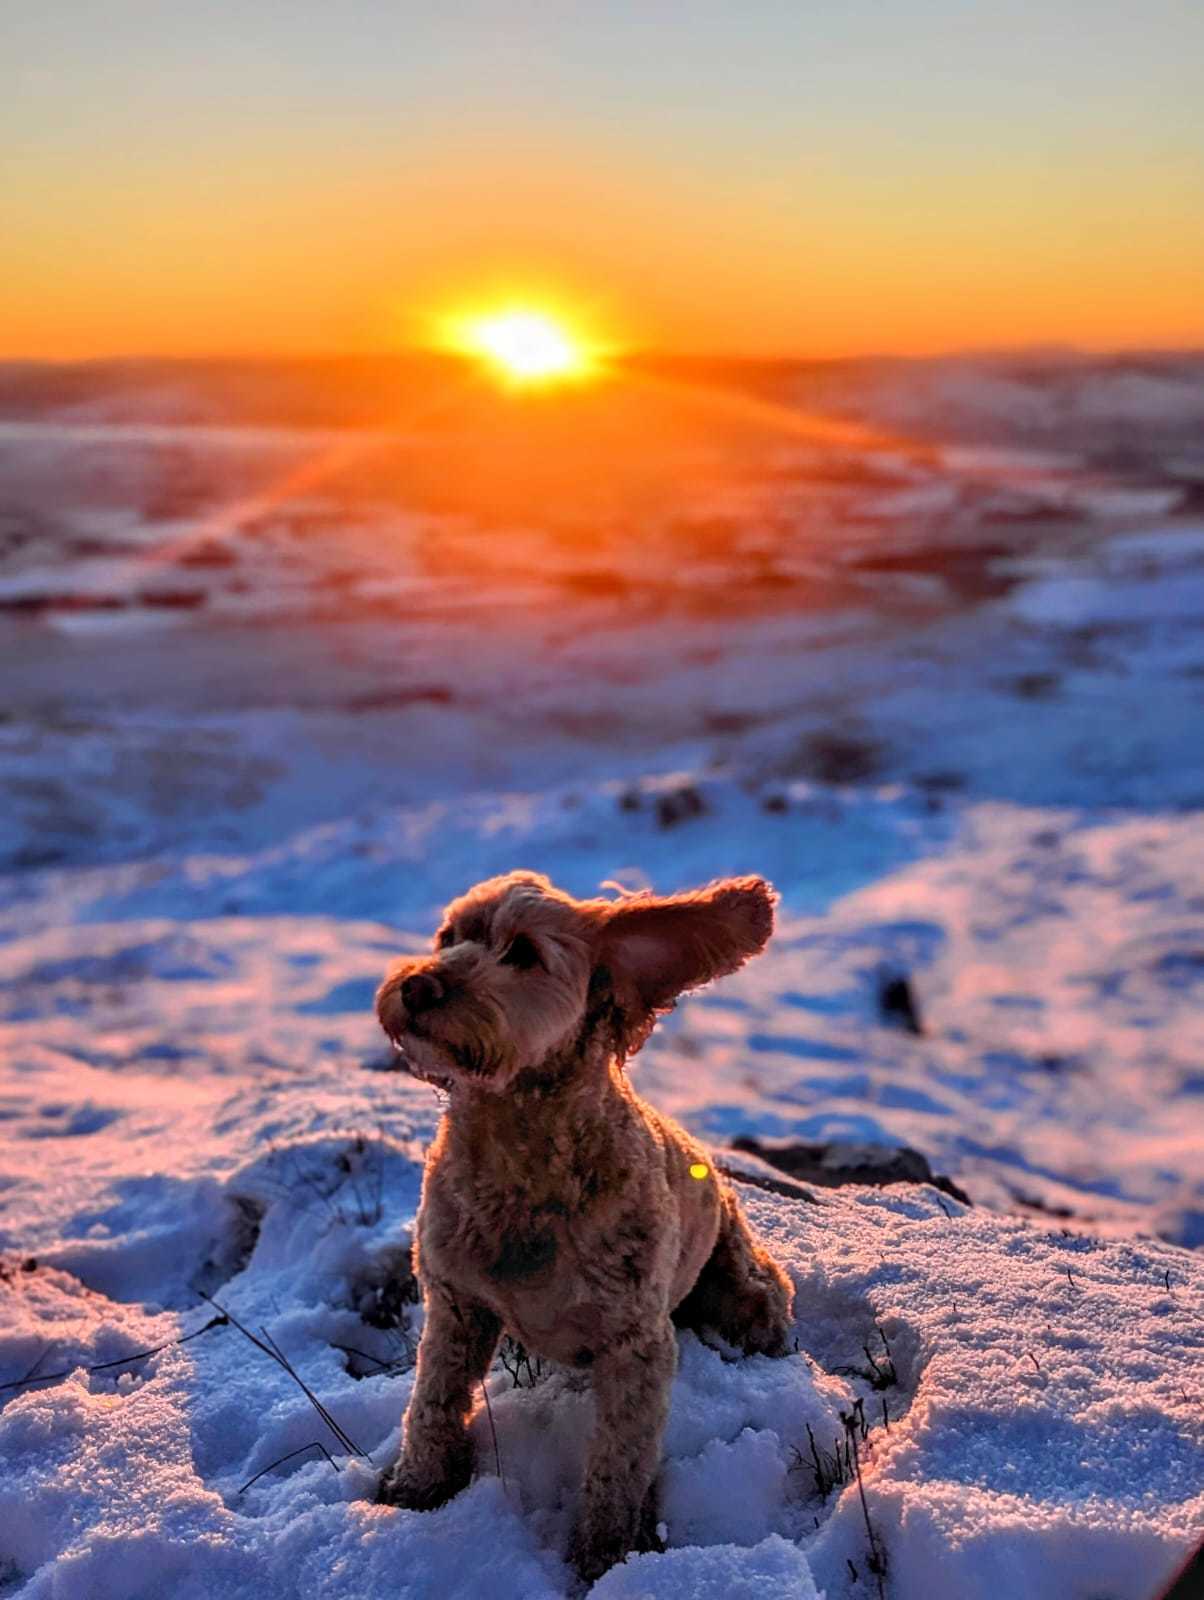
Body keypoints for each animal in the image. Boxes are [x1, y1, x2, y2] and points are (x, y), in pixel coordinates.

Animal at [371, 876, 794, 1587]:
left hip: (746, 1289)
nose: (419, 985)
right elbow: (431, 1403)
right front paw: (415, 1489)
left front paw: (603, 1555)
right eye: (448, 936)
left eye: (523, 952)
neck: (518, 1160)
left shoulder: (637, 1343)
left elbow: (618, 1462)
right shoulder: (455, 1302)